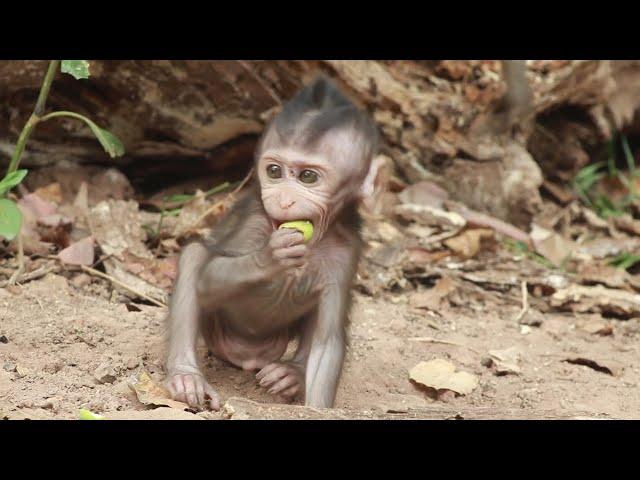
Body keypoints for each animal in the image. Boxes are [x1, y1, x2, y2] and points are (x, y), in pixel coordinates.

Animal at [168, 75, 382, 408]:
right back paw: (186, 376)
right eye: (274, 171)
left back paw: (291, 373)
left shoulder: (347, 251)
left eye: (308, 177)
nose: (282, 199)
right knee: (193, 255)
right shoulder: (255, 221)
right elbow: (208, 278)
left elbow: (328, 340)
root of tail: (248, 356)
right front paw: (270, 257)